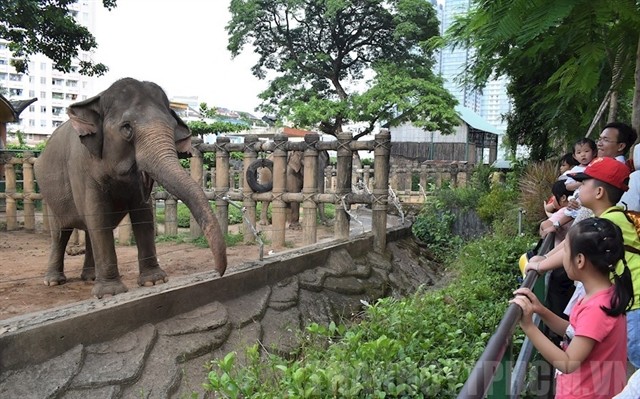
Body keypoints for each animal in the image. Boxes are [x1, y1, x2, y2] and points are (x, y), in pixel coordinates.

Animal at [34, 78, 228, 298]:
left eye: (172, 127)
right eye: (127, 128)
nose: (218, 272)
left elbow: (143, 214)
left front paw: (154, 281)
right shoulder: (80, 167)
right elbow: (98, 215)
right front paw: (110, 293)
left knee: (88, 229)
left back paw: (89, 277)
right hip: (49, 195)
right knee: (60, 232)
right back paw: (53, 281)